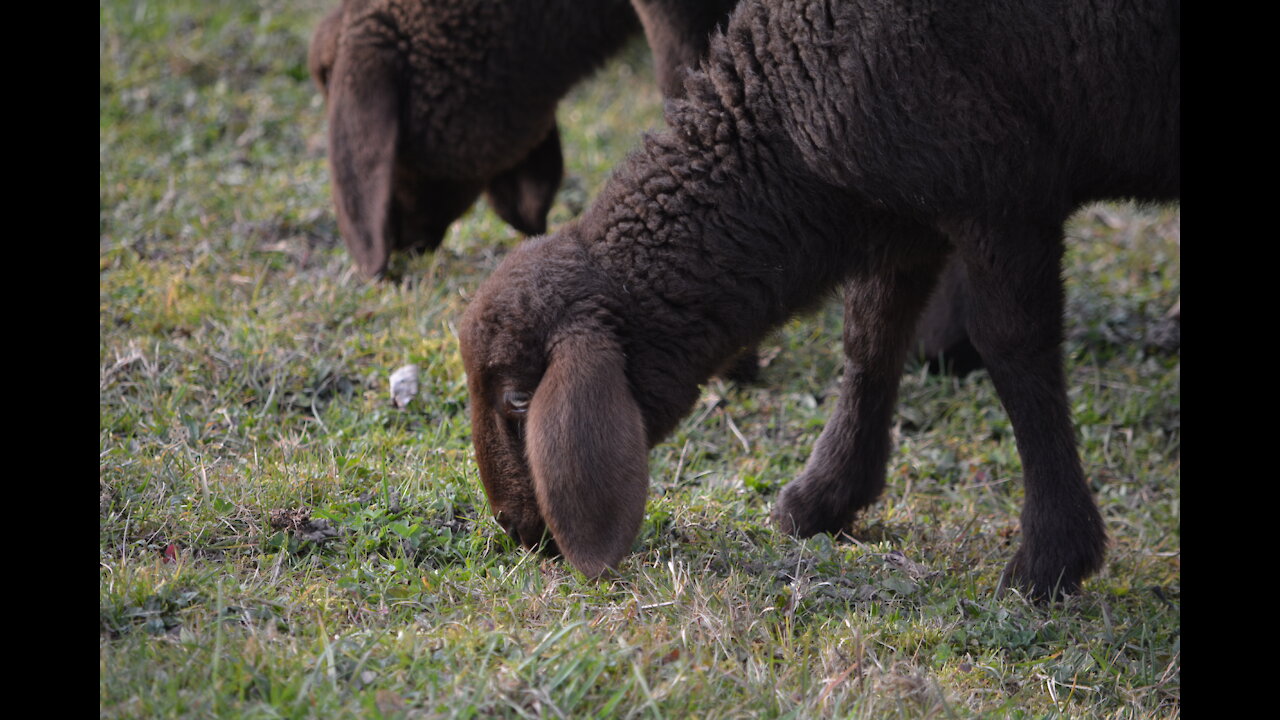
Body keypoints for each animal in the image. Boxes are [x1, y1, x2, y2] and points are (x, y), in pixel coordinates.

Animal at [460, 0, 1177, 597]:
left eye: (519, 402)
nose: (514, 529)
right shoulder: (904, 207)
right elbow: (871, 336)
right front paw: (825, 496)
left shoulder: (1001, 195)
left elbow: (1016, 352)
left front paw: (1051, 560)